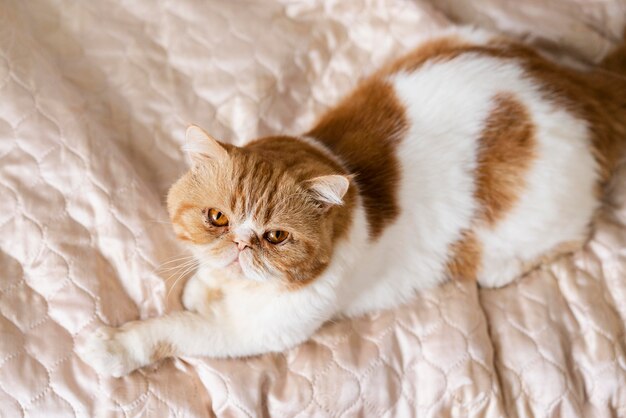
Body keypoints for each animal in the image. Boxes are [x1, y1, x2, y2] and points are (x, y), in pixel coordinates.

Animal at [79, 27, 624, 378]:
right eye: (217, 218)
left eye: (276, 237)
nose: (239, 246)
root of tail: (583, 89)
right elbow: (201, 282)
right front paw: (201, 284)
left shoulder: (251, 334)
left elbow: (177, 330)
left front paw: (118, 348)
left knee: (571, 236)